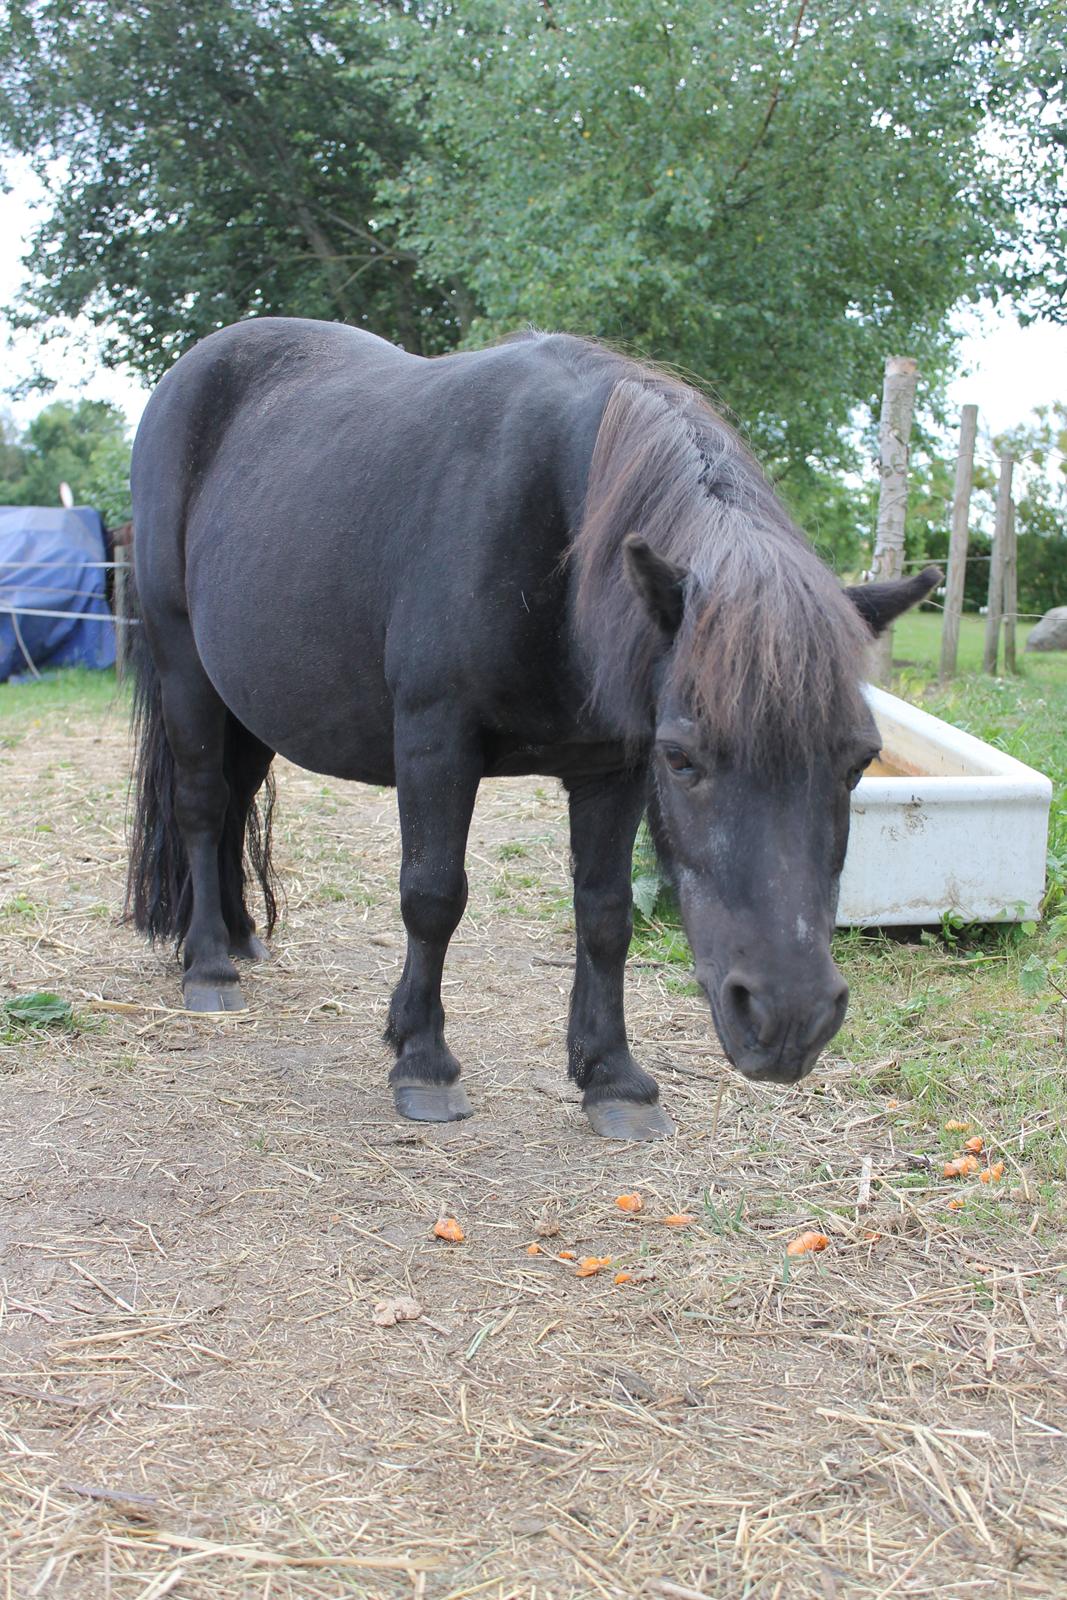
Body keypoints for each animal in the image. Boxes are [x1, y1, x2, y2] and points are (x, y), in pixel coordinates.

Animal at [129, 315, 940, 1139]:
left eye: (859, 762)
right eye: (683, 759)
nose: (787, 1019)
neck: (554, 528)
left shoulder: (612, 767)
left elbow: (605, 914)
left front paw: (612, 1077)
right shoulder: (436, 741)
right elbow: (432, 896)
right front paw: (423, 1060)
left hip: (247, 706)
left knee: (234, 806)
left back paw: (238, 935)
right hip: (186, 669)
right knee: (202, 807)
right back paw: (209, 964)